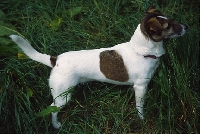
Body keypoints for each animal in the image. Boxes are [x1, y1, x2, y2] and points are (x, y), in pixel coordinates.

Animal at [9, 5, 188, 128]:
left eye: (171, 20)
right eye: (167, 26)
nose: (186, 27)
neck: (141, 51)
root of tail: (56, 60)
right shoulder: (141, 87)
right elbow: (140, 107)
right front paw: (142, 119)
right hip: (62, 95)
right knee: (52, 109)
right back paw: (56, 125)